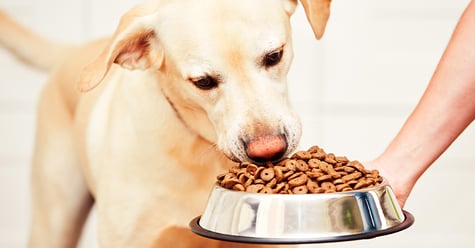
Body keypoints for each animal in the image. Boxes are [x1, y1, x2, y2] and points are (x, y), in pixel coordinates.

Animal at [0, 0, 332, 247]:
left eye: (274, 56)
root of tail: (76, 50)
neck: (198, 146)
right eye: (203, 82)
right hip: (55, 220)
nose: (268, 151)